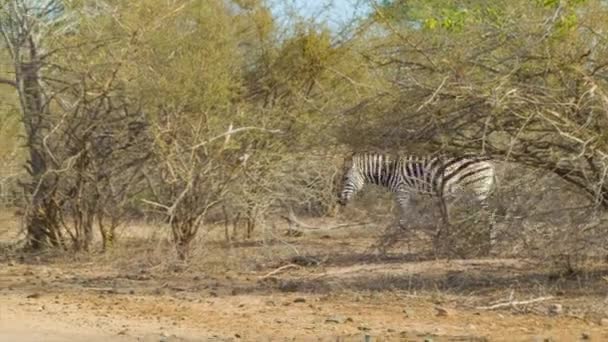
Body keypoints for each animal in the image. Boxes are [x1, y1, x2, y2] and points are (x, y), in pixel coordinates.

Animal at [340, 152, 496, 232]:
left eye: (345, 178)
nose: (339, 200)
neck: (389, 171)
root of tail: (489, 163)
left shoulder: (402, 193)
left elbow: (404, 221)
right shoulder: (414, 198)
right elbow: (413, 220)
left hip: (479, 192)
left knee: (490, 216)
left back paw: (491, 243)